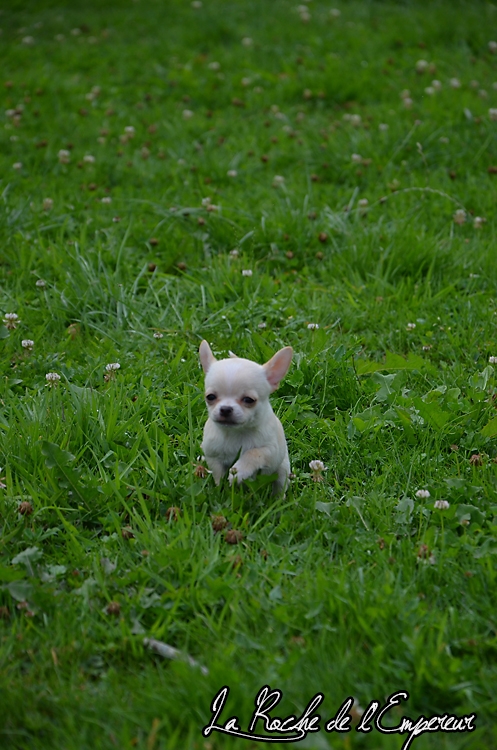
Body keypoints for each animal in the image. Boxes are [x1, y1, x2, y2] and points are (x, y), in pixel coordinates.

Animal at [200, 340, 292, 494]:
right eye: (210, 397)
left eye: (249, 400)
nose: (225, 409)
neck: (235, 433)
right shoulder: (213, 457)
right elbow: (218, 475)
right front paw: (220, 490)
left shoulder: (270, 450)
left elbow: (253, 453)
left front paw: (239, 471)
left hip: (282, 468)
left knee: (280, 485)